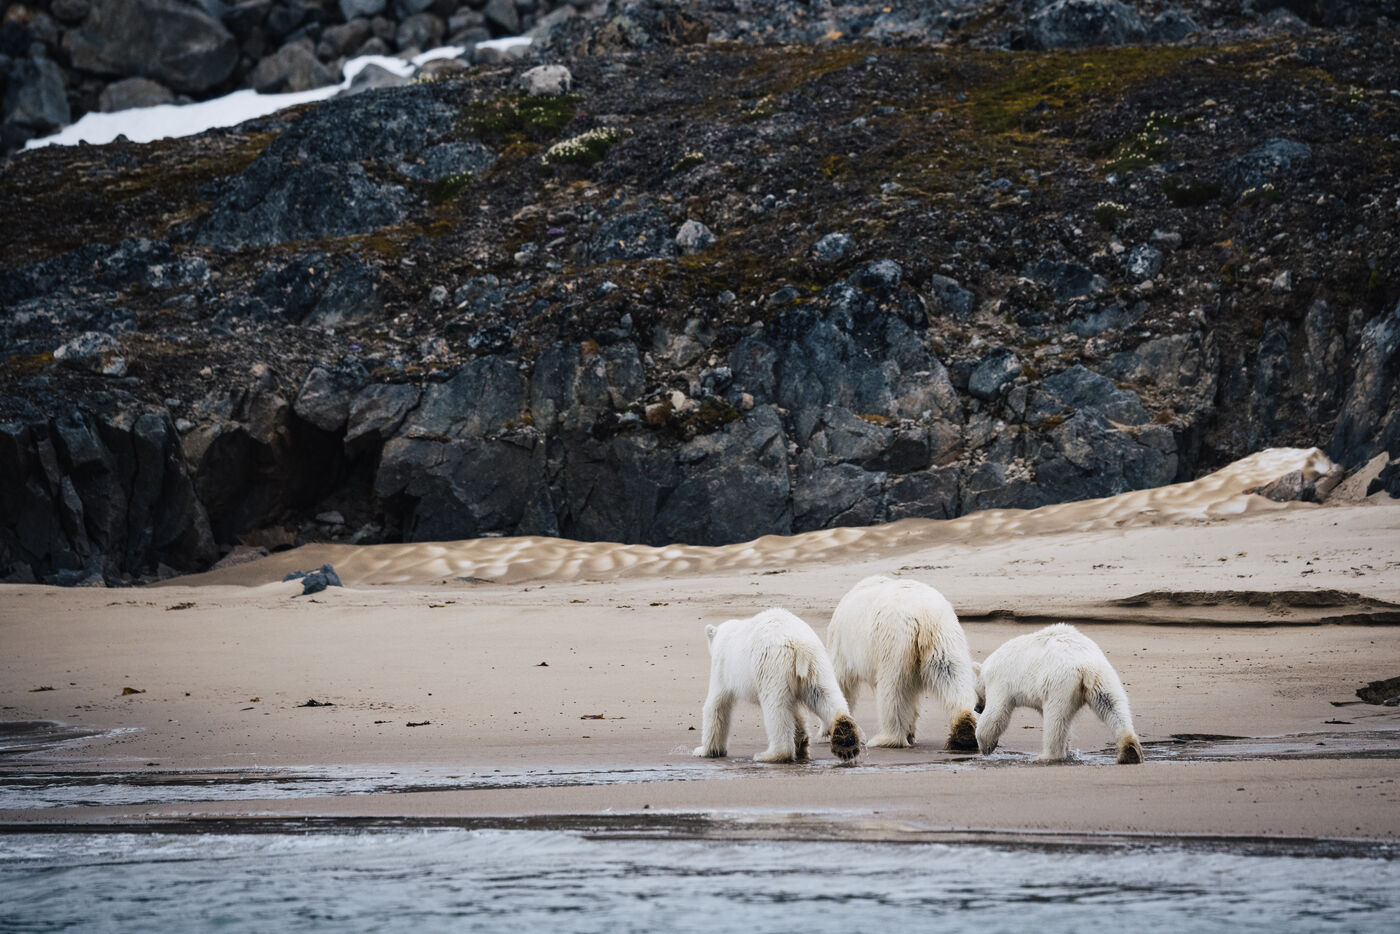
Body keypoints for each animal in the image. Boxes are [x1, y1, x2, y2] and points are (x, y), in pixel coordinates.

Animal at [693, 608, 862, 763]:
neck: (724, 635)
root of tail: (799, 646)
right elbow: (798, 712)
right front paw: (801, 744)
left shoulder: (722, 668)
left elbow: (716, 705)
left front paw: (704, 750)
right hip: (817, 666)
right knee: (825, 696)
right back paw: (846, 740)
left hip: (773, 666)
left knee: (776, 709)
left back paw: (769, 755)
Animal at [825, 575, 980, 751]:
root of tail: (924, 615)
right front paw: (911, 733)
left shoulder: (840, 644)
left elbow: (840, 682)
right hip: (945, 639)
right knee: (953, 678)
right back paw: (964, 734)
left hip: (894, 642)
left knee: (893, 690)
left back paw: (886, 738)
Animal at [974, 623, 1143, 764]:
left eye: (976, 691)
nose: (977, 708)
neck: (987, 668)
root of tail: (1084, 666)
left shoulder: (1000, 682)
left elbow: (996, 714)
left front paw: (986, 746)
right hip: (1103, 677)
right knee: (1112, 706)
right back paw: (1130, 751)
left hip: (1060, 684)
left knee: (1056, 720)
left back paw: (1046, 756)